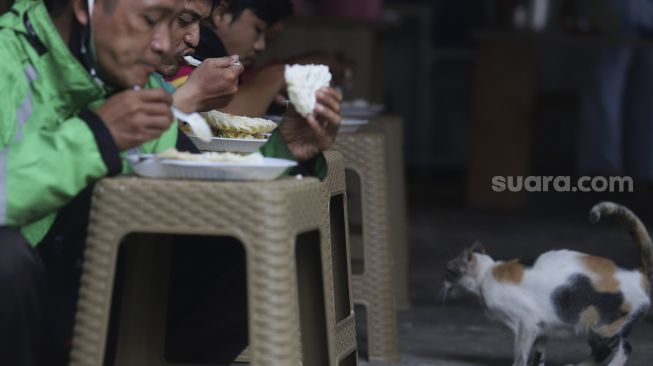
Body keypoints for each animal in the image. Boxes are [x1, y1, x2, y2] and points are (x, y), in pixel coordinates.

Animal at [446, 203, 648, 366]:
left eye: (448, 271)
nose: (444, 280)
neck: (488, 272)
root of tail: (638, 274)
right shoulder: (542, 327)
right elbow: (538, 353)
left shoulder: (526, 323)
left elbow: (521, 354)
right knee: (615, 349)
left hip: (602, 327)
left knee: (618, 350)